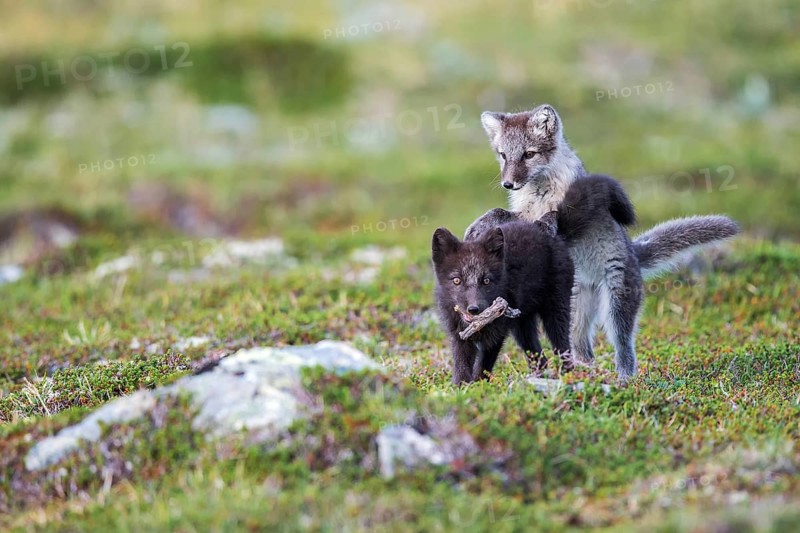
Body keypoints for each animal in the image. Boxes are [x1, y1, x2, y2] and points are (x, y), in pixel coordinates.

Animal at [466, 104, 740, 381]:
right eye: (503, 155)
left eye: (529, 154)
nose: (508, 183)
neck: (539, 192)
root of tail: (634, 255)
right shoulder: (524, 213)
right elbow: (499, 212)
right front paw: (477, 227)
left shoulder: (573, 214)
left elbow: (551, 217)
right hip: (575, 308)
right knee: (582, 348)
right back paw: (583, 373)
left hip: (616, 305)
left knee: (624, 347)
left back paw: (624, 379)